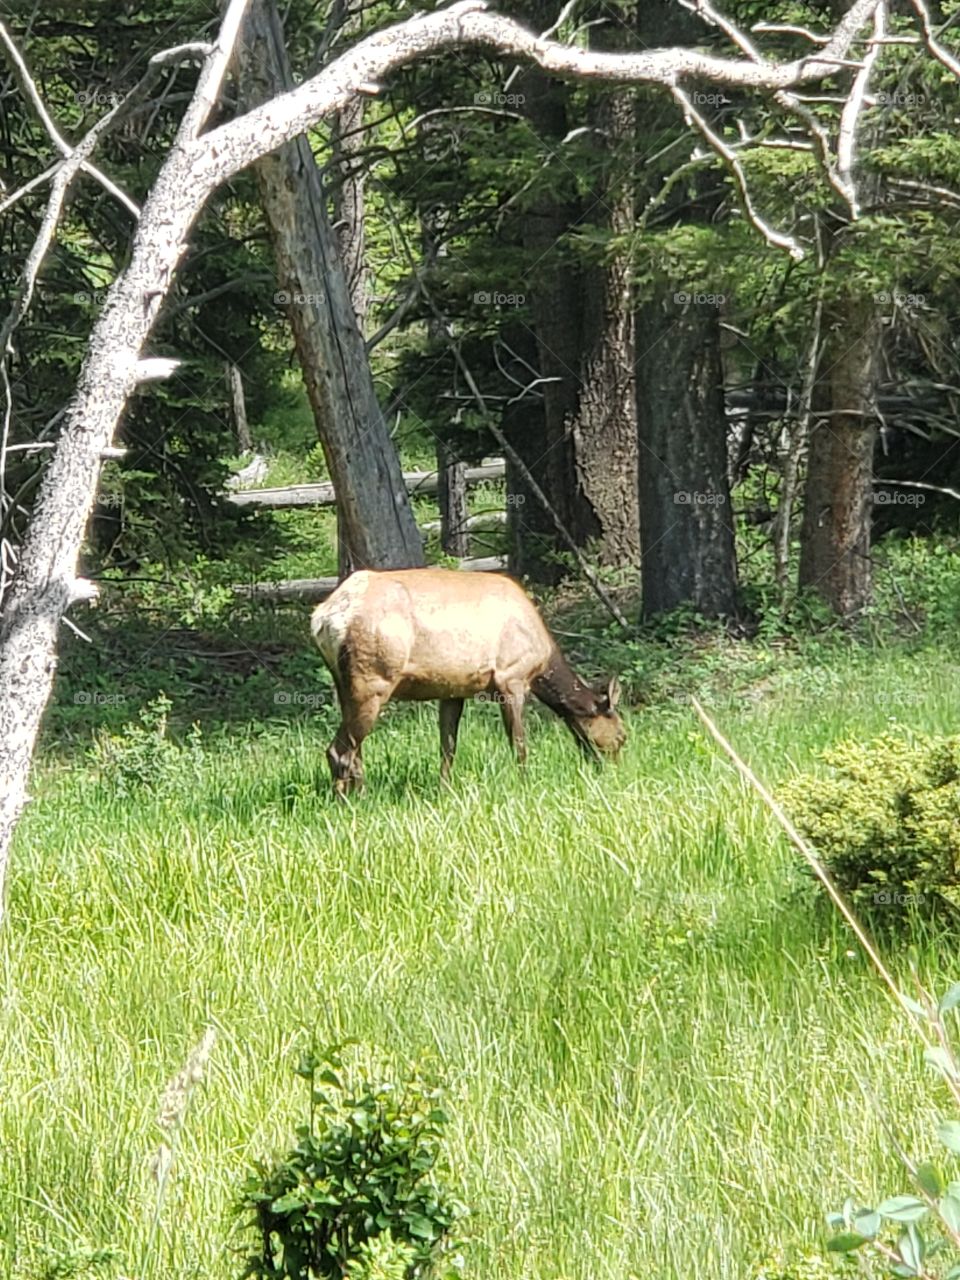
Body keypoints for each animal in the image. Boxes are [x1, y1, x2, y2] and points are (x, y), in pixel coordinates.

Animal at [310, 567, 625, 795]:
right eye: (622, 736)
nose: (612, 772)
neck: (543, 661)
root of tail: (323, 618)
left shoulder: (453, 690)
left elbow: (448, 747)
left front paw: (445, 791)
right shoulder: (512, 677)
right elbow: (519, 743)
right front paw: (525, 785)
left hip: (344, 685)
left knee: (354, 750)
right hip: (374, 680)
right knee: (340, 751)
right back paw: (351, 802)